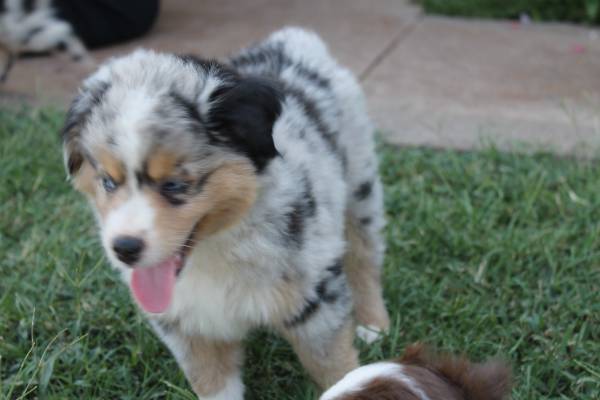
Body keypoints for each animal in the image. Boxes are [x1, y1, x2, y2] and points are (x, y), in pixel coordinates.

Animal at [61, 26, 390, 398]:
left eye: (174, 184)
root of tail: (291, 39)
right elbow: (213, 383)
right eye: (107, 181)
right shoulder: (188, 326)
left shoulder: (315, 300)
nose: (125, 249)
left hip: (360, 179)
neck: (215, 248)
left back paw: (373, 324)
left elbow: (335, 367)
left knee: (364, 253)